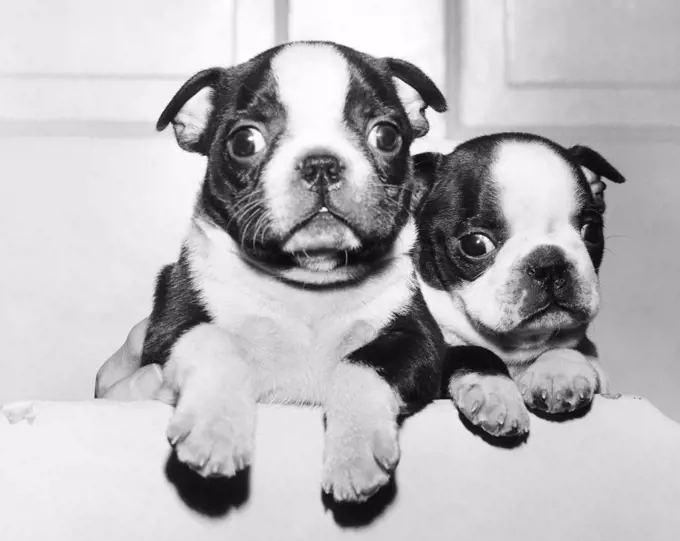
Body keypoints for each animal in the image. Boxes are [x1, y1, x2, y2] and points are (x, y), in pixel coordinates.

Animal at [139, 42, 448, 502]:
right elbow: (213, 339)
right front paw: (216, 431)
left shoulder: (418, 339)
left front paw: (354, 452)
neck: (308, 283)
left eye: (387, 136)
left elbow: (360, 363)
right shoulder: (169, 326)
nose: (321, 164)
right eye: (244, 141)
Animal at [412, 133, 624, 436]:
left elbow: (570, 345)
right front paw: (496, 393)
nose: (549, 264)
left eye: (592, 231)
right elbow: (471, 352)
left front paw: (558, 371)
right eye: (475, 244)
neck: (516, 350)